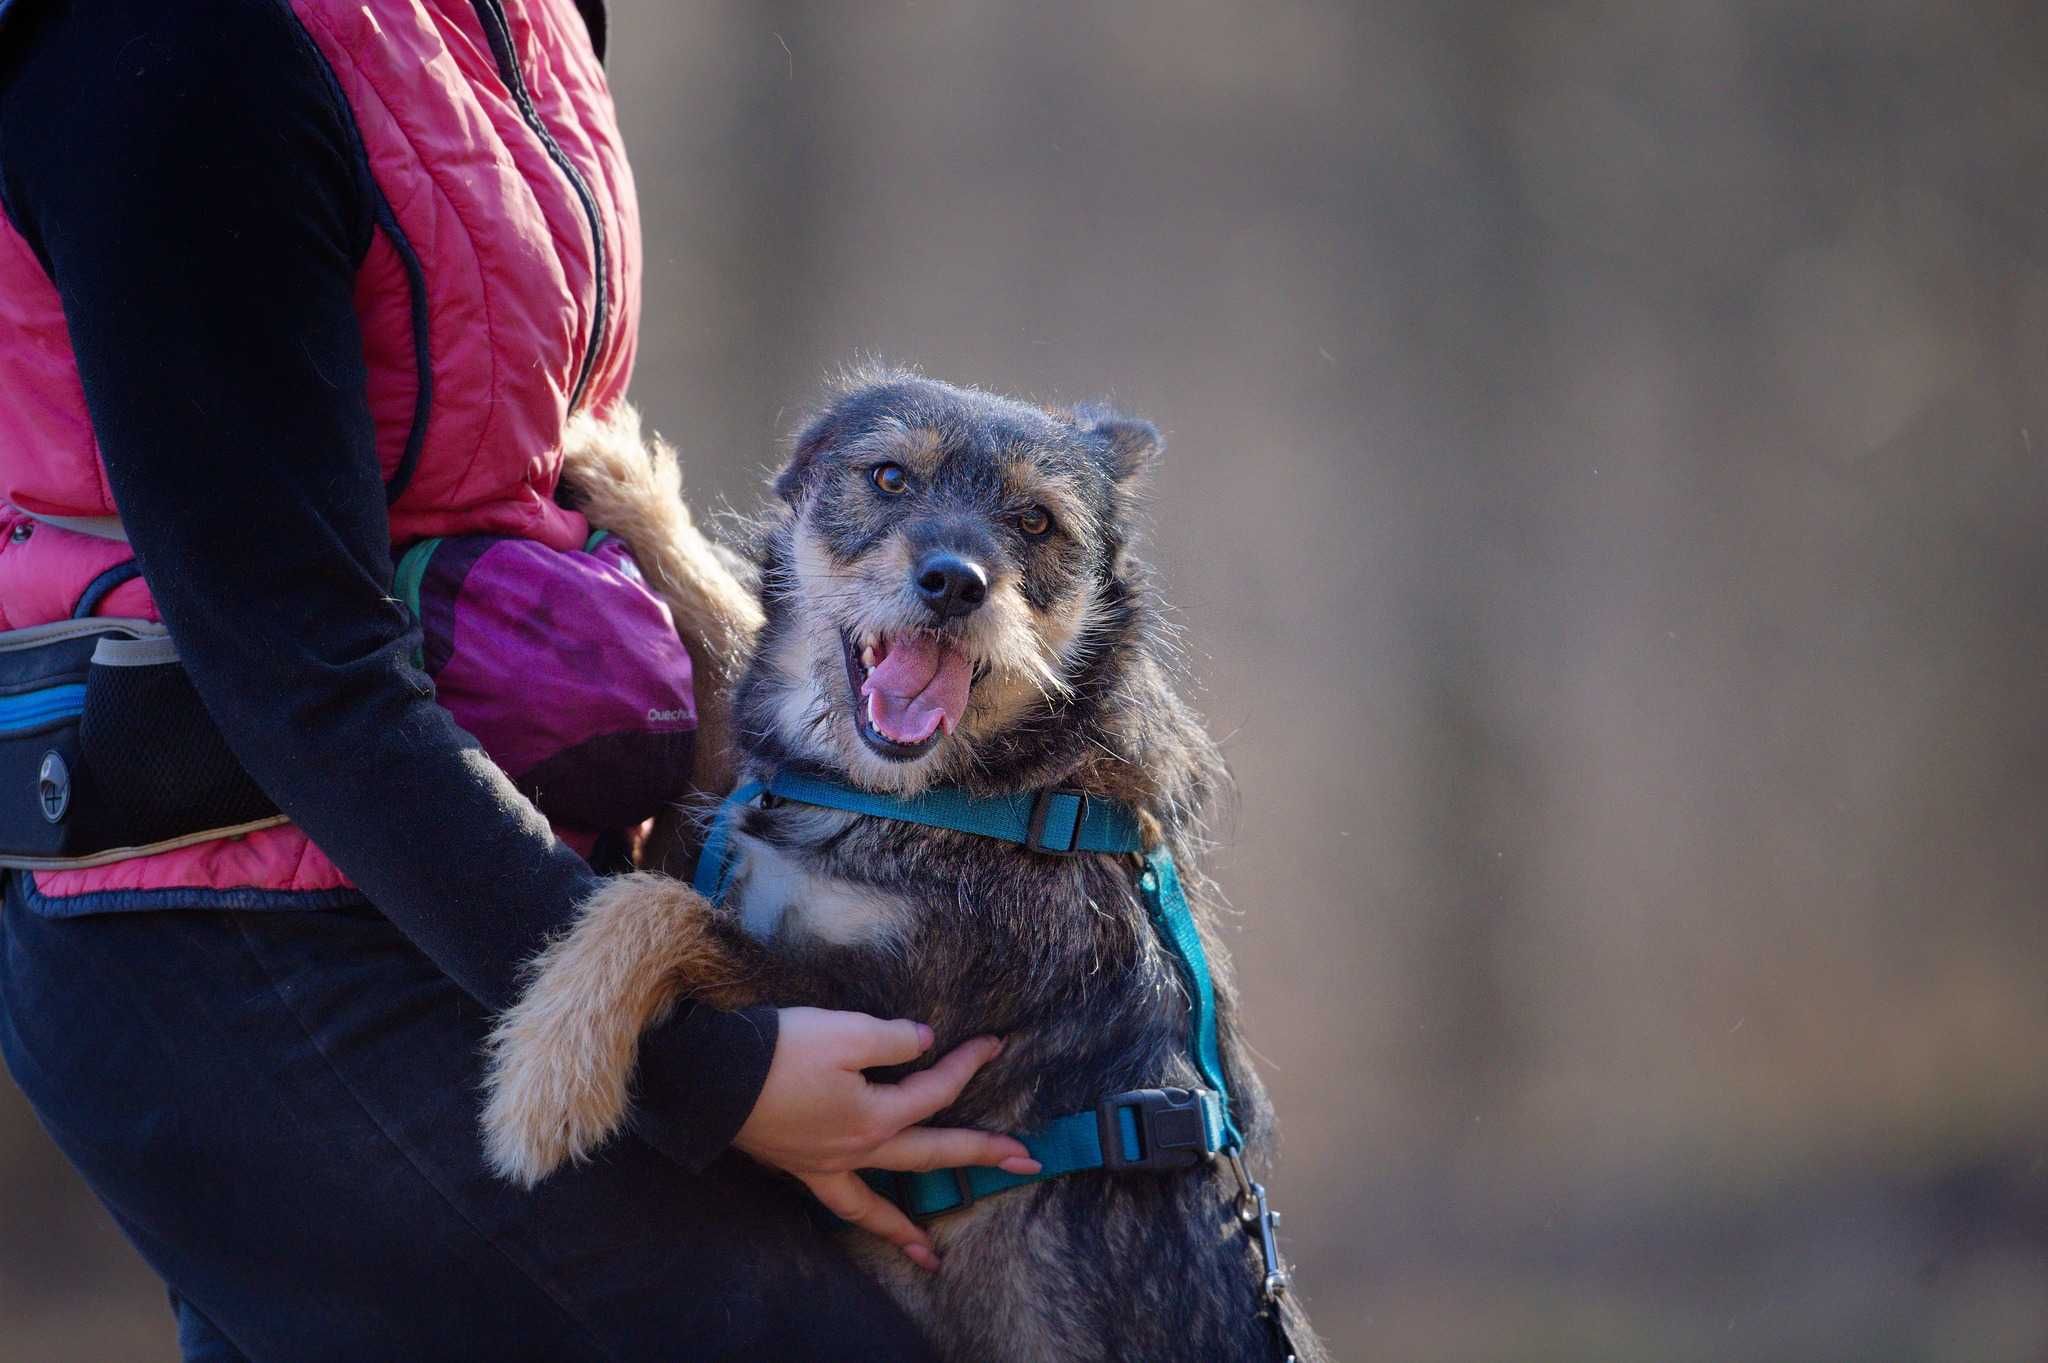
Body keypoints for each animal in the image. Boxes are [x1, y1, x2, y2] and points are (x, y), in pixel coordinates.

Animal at [489, 374, 1335, 1358]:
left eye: (1037, 521)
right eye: (890, 476)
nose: (954, 582)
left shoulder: (891, 1027)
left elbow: (659, 908)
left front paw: (547, 1073)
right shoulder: (729, 807)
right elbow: (719, 668)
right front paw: (624, 478)